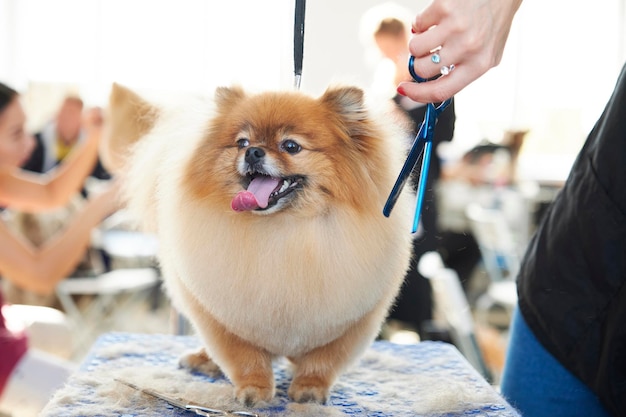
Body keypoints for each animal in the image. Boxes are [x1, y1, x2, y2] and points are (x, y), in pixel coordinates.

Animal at [102, 83, 414, 404]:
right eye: (242, 142)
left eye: (291, 146)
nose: (253, 152)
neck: (283, 229)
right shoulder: (226, 318)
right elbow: (245, 357)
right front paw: (254, 390)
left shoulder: (351, 321)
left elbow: (322, 360)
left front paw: (310, 389)